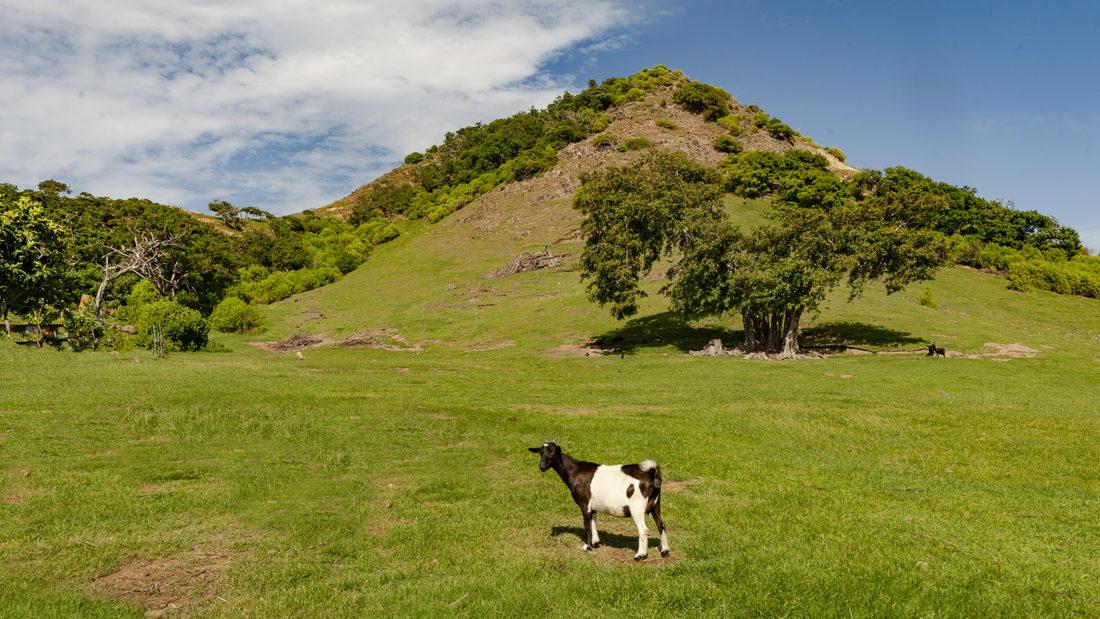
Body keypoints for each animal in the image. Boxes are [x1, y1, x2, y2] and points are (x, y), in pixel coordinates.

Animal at [529, 442, 669, 560]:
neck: (575, 472)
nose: (542, 466)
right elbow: (593, 522)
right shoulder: (593, 506)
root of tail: (652, 474)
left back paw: (640, 555)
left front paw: (587, 546)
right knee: (661, 525)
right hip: (655, 505)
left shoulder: (584, 504)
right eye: (541, 452)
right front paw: (596, 543)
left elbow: (587, 524)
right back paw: (665, 550)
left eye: (552, 451)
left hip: (637, 507)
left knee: (643, 529)